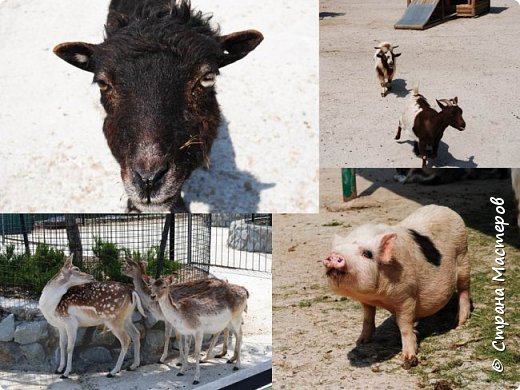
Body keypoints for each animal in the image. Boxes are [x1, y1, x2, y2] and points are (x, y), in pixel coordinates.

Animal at [320, 204, 472, 368]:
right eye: (337, 249)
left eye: (367, 254)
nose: (334, 256)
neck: (379, 297)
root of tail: (446, 209)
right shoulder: (367, 301)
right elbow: (367, 317)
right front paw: (361, 341)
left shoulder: (407, 296)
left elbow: (404, 326)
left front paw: (408, 360)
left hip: (463, 257)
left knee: (464, 289)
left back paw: (460, 322)